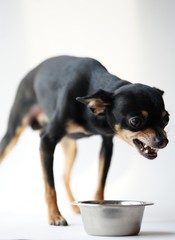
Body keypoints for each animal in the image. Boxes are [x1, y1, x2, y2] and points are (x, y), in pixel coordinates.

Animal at [0, 55, 170, 225]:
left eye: (166, 118)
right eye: (135, 121)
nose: (163, 141)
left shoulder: (107, 144)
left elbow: (100, 183)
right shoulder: (47, 140)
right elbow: (50, 186)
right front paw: (55, 216)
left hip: (71, 147)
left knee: (64, 175)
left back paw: (74, 205)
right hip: (13, 133)